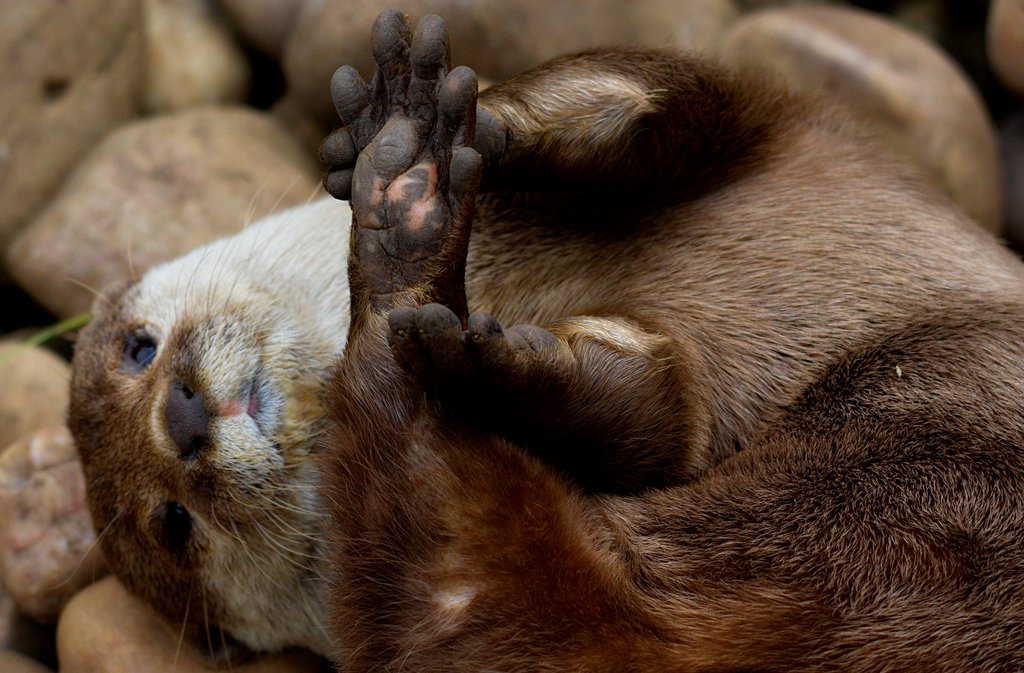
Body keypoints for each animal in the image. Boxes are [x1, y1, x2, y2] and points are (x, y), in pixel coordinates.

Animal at [69, 8, 1024, 671]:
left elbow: (671, 91)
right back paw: (403, 244)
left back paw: (400, 172)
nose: (183, 418)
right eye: (173, 523)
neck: (528, 284)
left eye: (136, 349)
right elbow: (661, 417)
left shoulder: (806, 137)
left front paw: (474, 124)